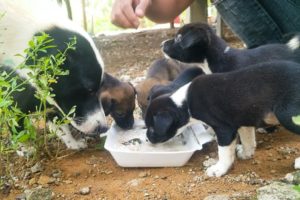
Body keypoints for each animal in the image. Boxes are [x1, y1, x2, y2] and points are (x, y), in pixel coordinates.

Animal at [145, 60, 300, 177]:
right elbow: (248, 140)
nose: (147, 138)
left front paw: (219, 169)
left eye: (152, 128)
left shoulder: (224, 129)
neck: (185, 103)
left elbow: (224, 152)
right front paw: (246, 154)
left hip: (287, 115)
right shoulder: (243, 120)